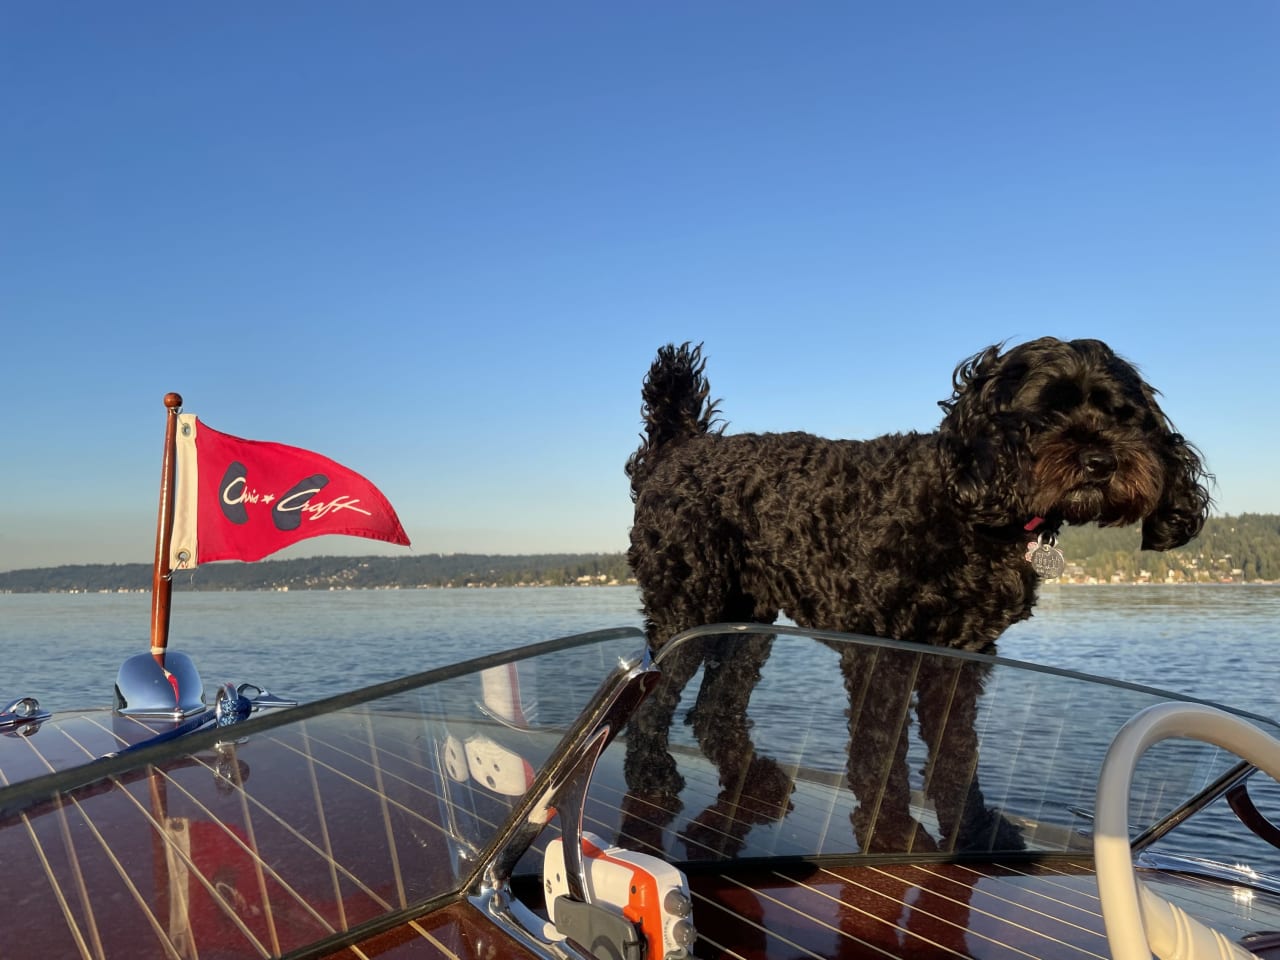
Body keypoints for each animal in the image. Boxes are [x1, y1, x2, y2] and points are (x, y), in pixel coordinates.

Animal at [619, 340, 1208, 855]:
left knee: (714, 707)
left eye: (1123, 414)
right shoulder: (883, 654)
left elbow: (955, 756)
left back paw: (755, 782)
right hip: (687, 605)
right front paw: (891, 834)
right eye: (1045, 412)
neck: (967, 504)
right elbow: (879, 753)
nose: (1101, 461)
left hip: (746, 621)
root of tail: (679, 447)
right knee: (654, 695)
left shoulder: (960, 658)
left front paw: (972, 832)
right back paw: (650, 775)